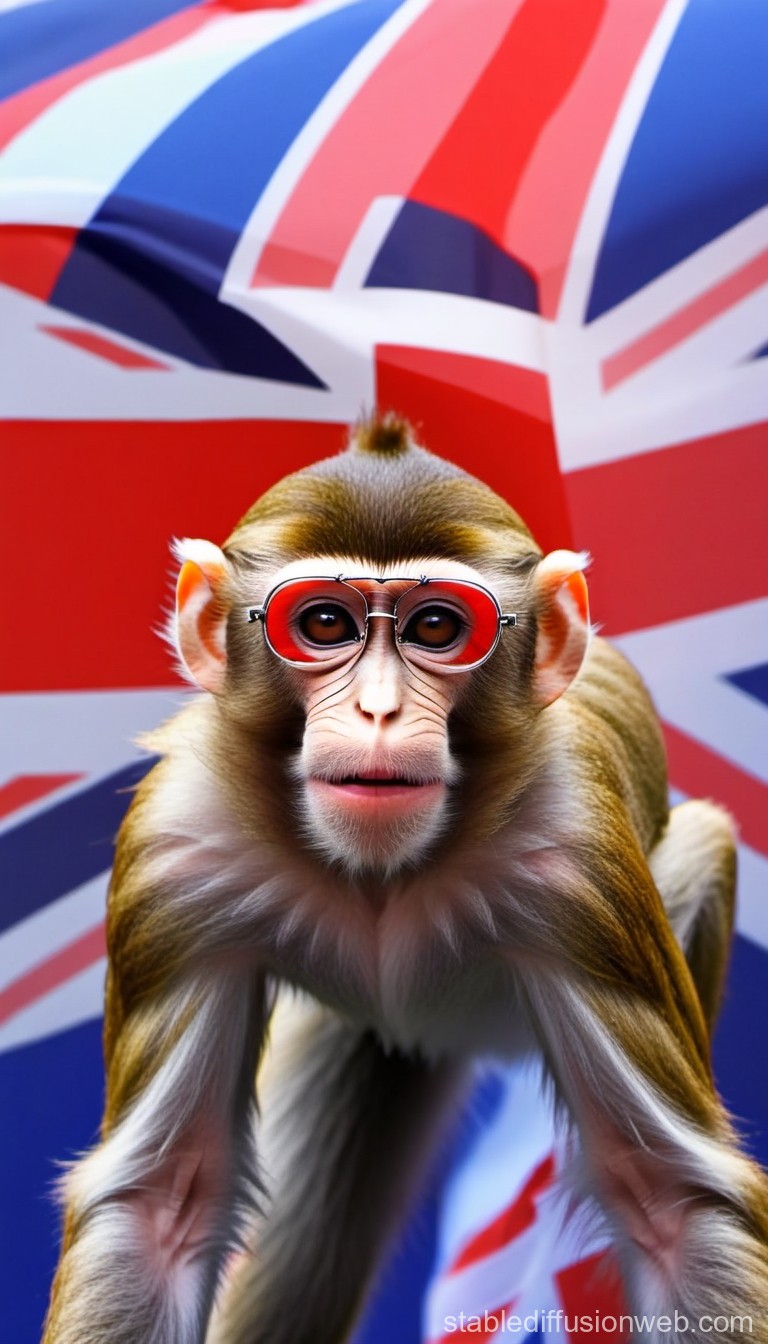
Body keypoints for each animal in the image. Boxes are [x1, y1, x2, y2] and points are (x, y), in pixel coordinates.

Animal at [42, 414, 768, 1344]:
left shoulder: (580, 860)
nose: (380, 711)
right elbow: (161, 1206)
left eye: (435, 628)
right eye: (323, 623)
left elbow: (671, 1205)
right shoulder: (176, 847)